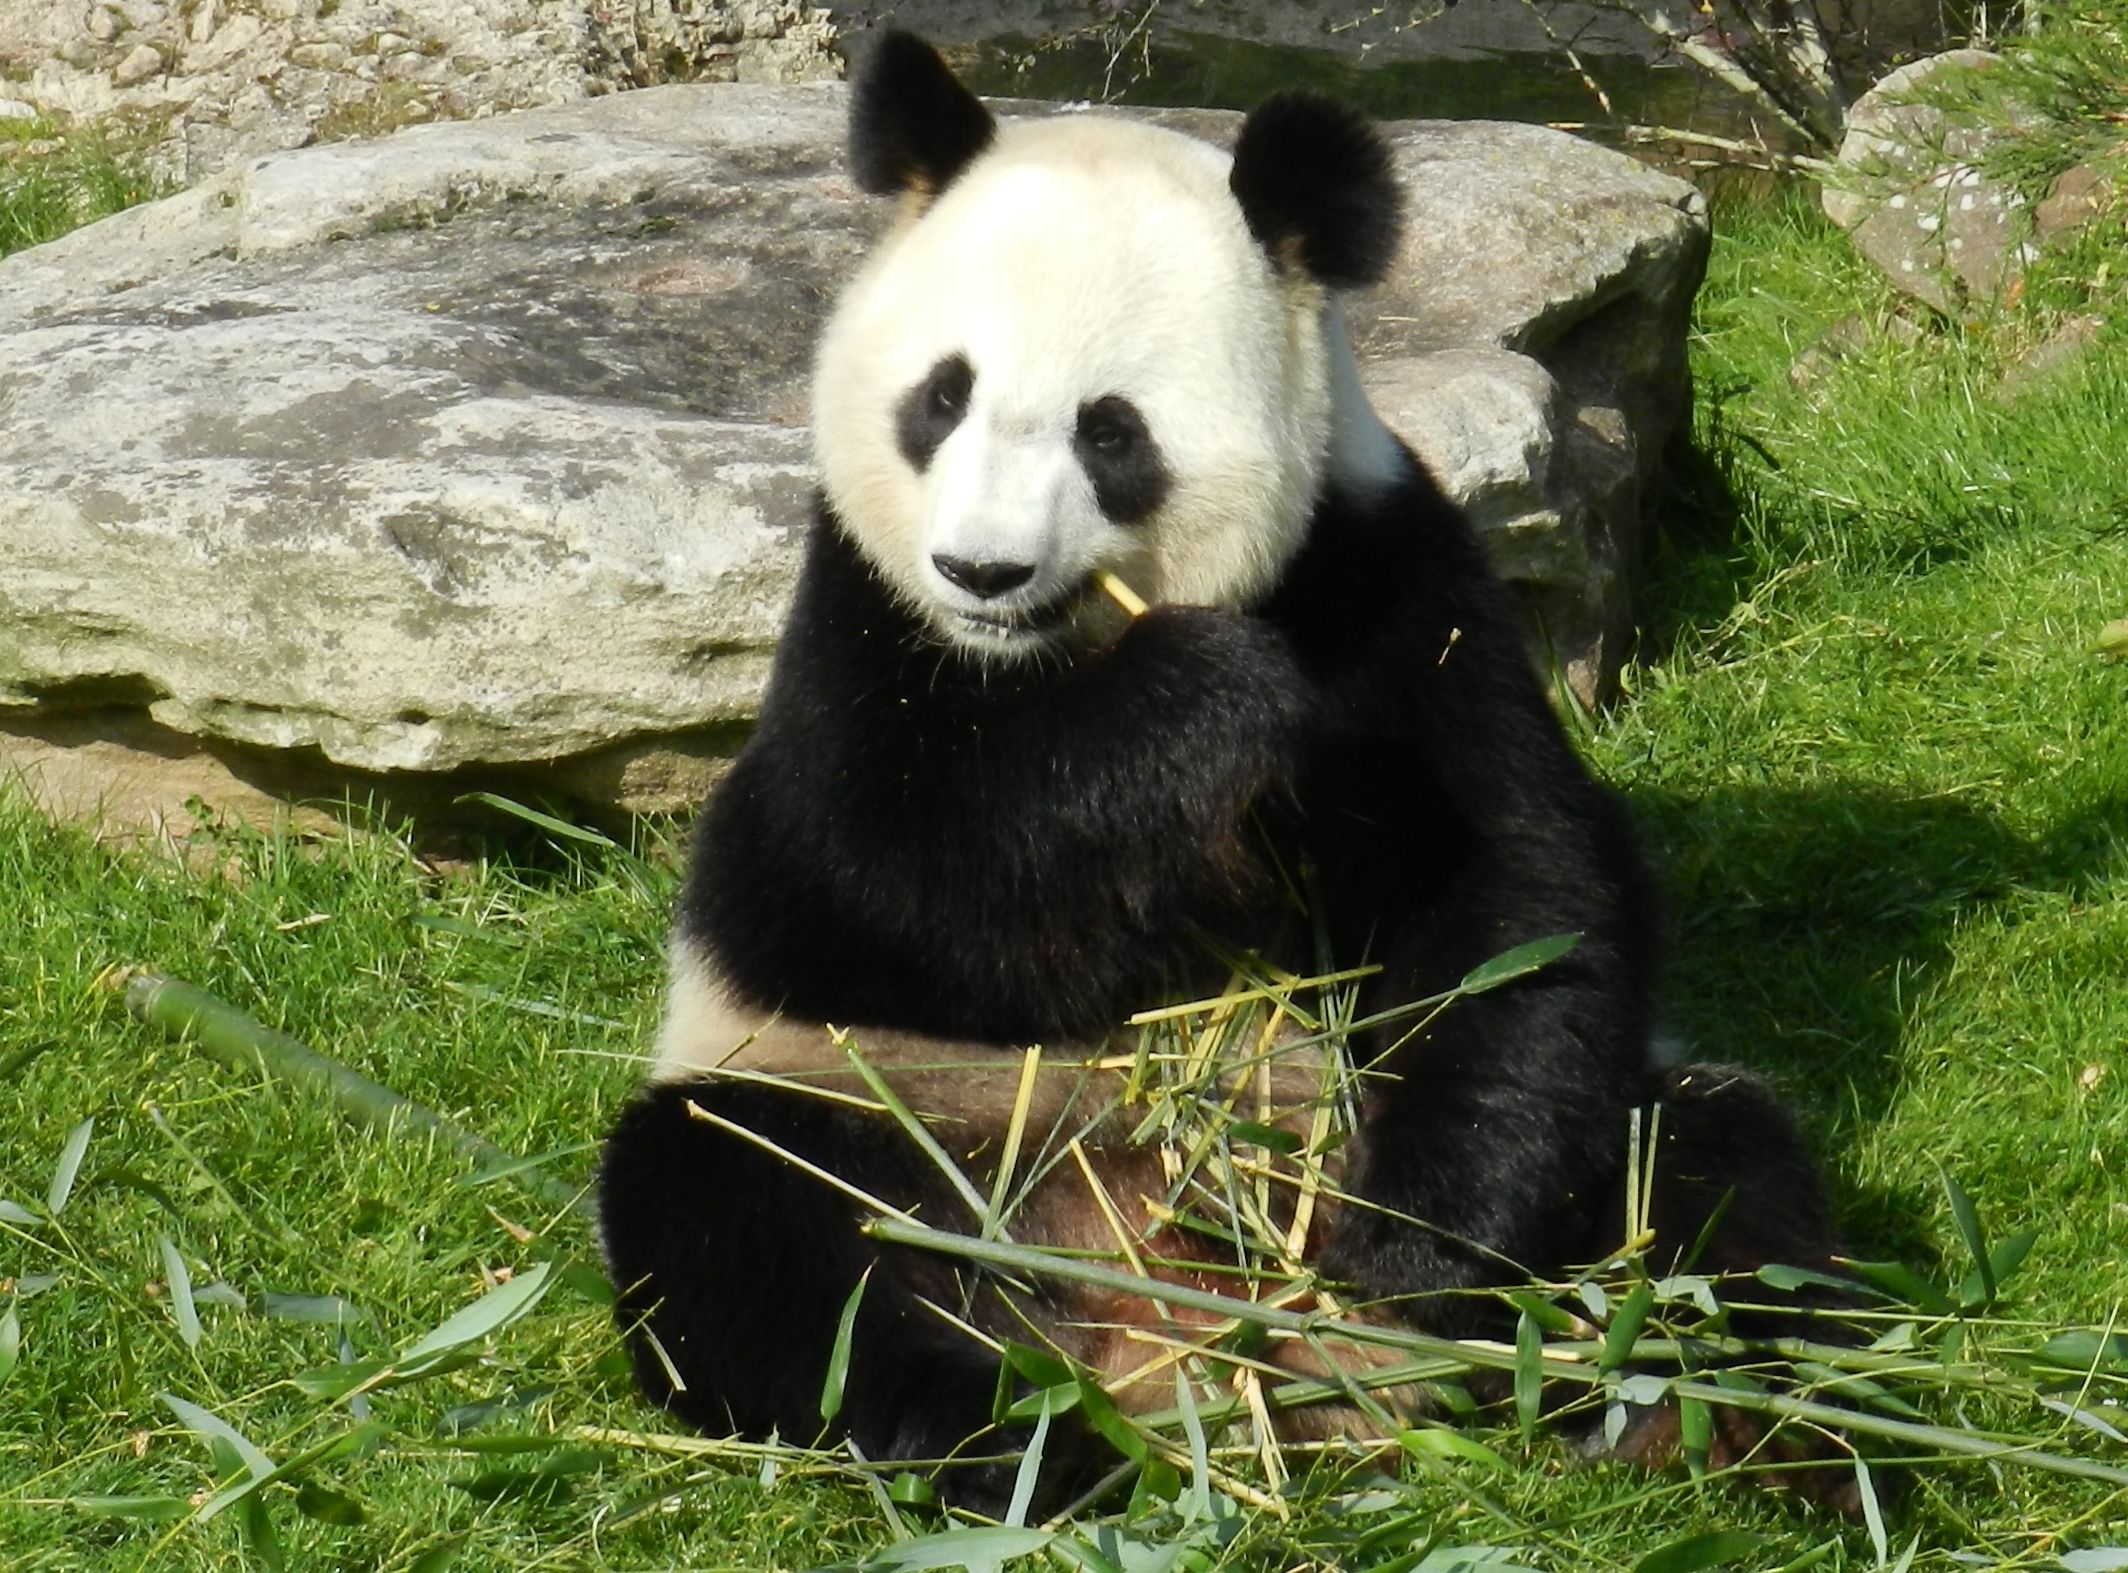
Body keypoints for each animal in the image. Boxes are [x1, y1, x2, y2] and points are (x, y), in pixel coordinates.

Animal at [595, 30, 1830, 1507]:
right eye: (941, 397)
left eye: (1109, 431)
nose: (981, 570)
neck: (1046, 660)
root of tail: (1166, 1329)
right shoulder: (858, 624)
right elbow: (868, 874)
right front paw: (1200, 703)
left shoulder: (1388, 580)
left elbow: (1510, 903)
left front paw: (1408, 1265)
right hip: (879, 1112)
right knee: (753, 1226)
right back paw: (1012, 1444)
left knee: (1710, 1179)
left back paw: (1733, 1438)